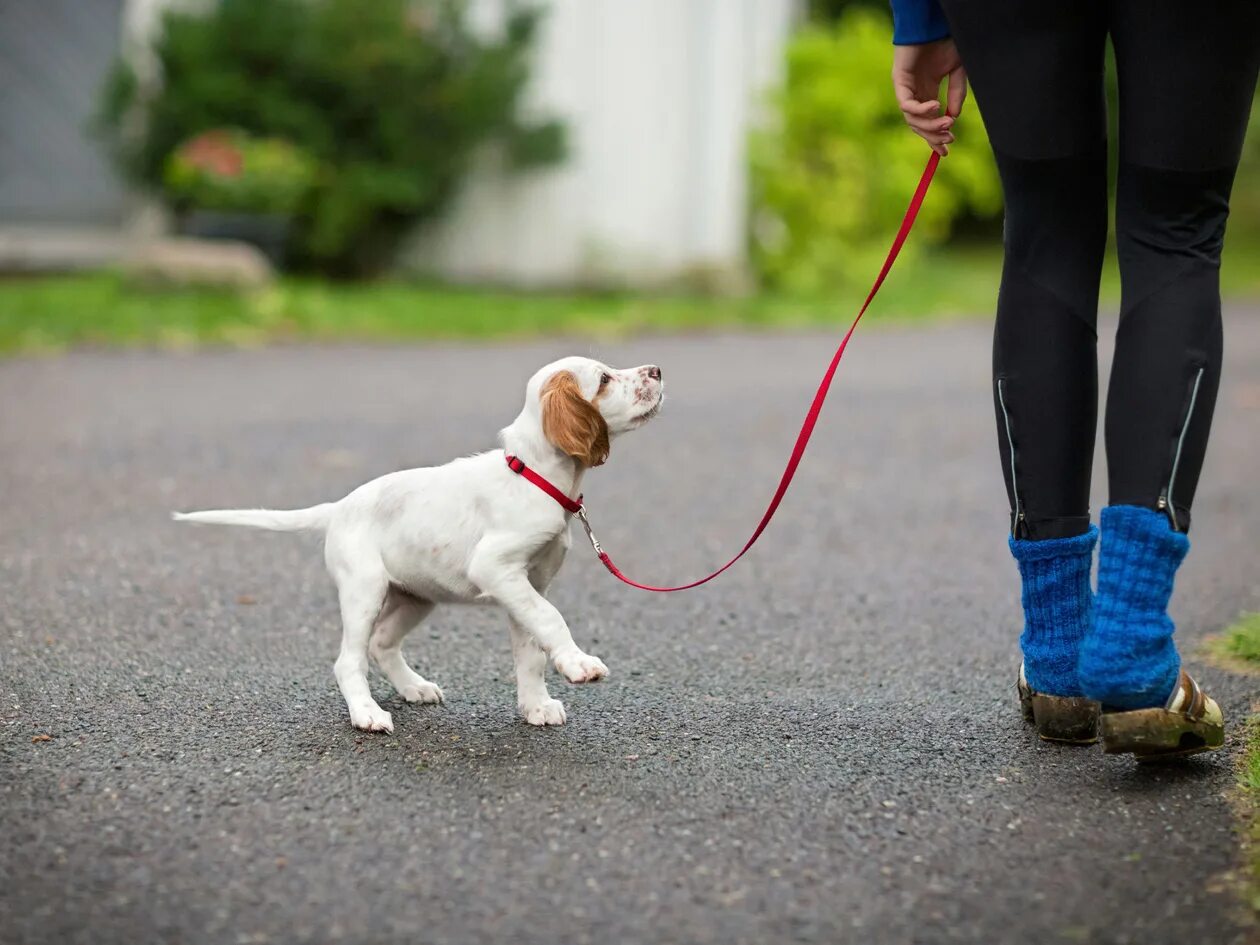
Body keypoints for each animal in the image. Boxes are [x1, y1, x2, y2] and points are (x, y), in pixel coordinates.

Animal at [178, 357, 670, 735]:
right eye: (603, 379)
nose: (657, 370)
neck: (534, 476)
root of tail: (338, 508)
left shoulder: (527, 585)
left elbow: (531, 649)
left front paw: (536, 705)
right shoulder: (496, 568)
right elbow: (551, 619)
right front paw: (579, 664)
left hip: (417, 595)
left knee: (382, 643)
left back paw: (413, 687)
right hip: (365, 590)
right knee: (348, 660)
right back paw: (367, 714)